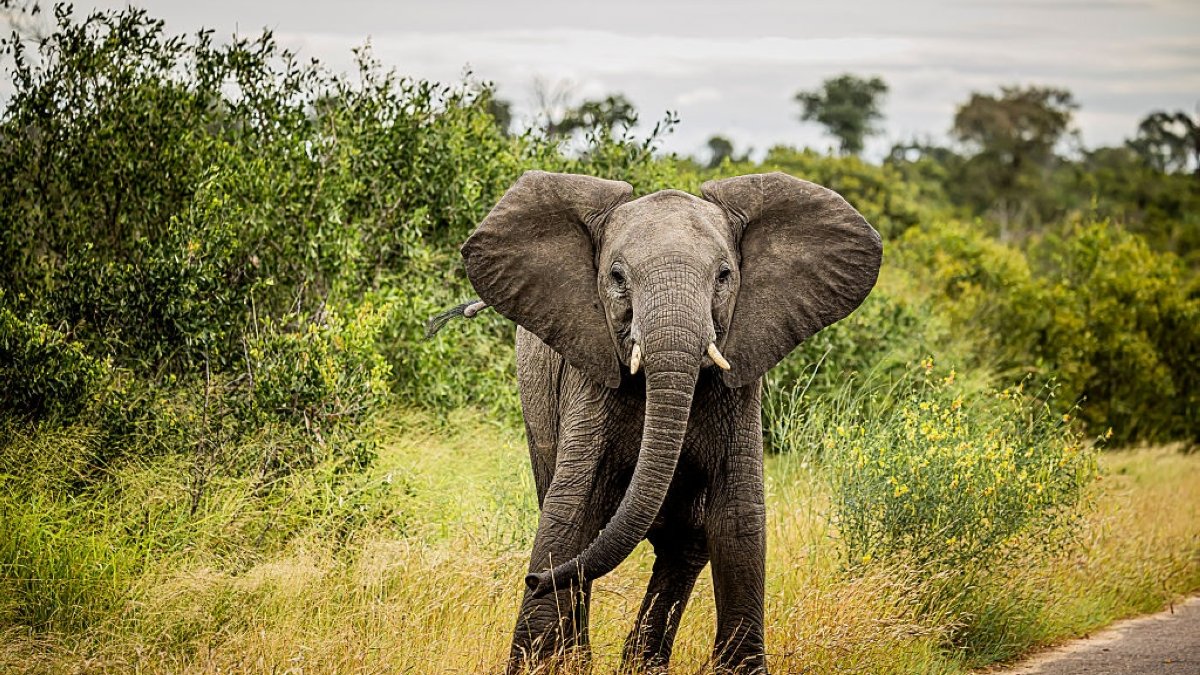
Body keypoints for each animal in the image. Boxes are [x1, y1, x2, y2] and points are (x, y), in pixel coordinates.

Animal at [446, 170, 881, 673]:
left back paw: (641, 664)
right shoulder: (589, 378)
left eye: (724, 276)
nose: (532, 579)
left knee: (685, 543)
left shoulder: (741, 382)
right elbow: (570, 510)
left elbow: (738, 518)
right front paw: (539, 663)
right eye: (617, 277)